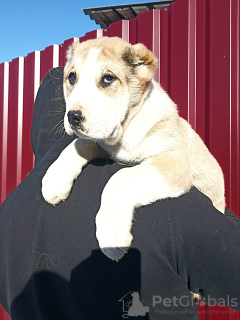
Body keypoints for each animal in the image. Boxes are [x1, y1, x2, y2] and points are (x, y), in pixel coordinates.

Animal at [41, 36, 225, 262]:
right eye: (72, 77)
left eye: (108, 79)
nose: (73, 117)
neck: (125, 130)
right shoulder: (102, 142)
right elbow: (78, 144)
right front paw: (54, 181)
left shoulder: (174, 161)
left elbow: (120, 178)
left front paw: (111, 234)